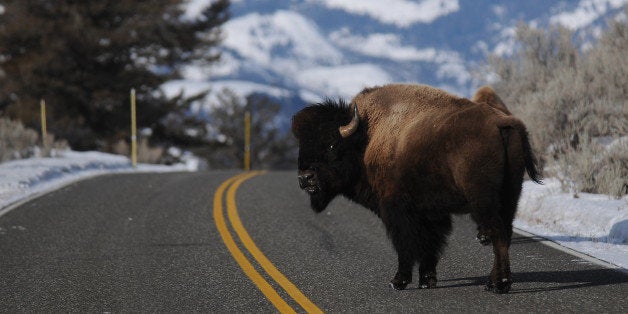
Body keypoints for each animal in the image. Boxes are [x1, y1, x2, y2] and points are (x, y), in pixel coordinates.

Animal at [292, 83, 544, 292]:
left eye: (331, 144)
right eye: (301, 145)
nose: (305, 178)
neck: (367, 137)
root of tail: (501, 122)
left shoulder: (395, 209)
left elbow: (406, 244)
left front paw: (398, 281)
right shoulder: (431, 213)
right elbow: (429, 245)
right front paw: (426, 280)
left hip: (483, 200)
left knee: (498, 233)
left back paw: (499, 285)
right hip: (510, 195)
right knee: (505, 233)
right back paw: (493, 282)